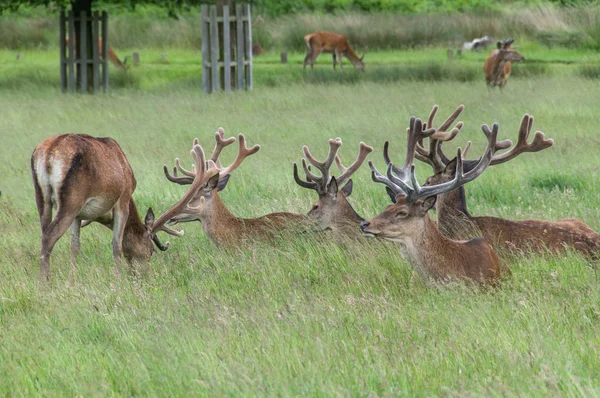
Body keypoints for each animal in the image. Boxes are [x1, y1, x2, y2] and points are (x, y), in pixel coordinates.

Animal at [29, 135, 185, 284]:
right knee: (49, 236)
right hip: (72, 200)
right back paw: (44, 285)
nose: (144, 276)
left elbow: (74, 246)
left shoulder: (78, 216)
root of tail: (49, 153)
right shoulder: (123, 200)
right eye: (151, 250)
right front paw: (118, 282)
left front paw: (70, 282)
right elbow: (117, 244)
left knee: (44, 233)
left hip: (41, 197)